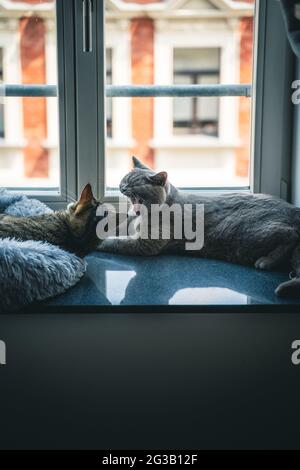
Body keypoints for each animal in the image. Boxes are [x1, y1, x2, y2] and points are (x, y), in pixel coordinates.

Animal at [99, 158, 300, 298]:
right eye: (124, 179)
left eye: (134, 183)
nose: (122, 186)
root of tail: (293, 209)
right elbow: (117, 229)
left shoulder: (145, 244)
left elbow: (116, 243)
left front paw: (99, 243)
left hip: (251, 235)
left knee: (291, 235)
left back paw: (267, 261)